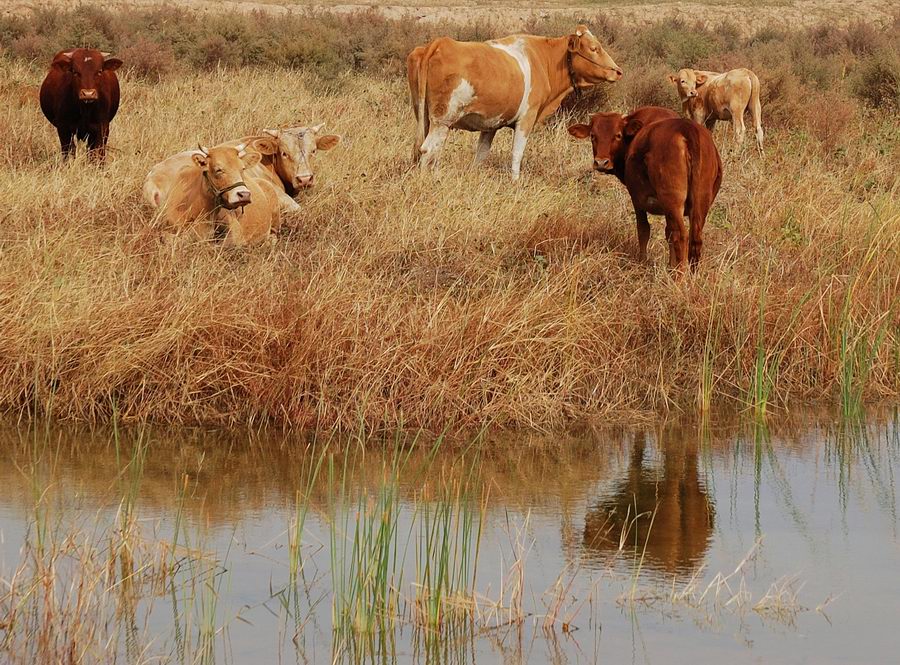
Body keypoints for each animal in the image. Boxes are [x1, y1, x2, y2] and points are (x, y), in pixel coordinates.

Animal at [406, 25, 620, 178]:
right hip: (442, 120)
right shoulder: (527, 118)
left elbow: (481, 155)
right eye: (594, 48)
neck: (543, 60)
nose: (617, 71)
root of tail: (439, 43)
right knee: (428, 150)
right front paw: (515, 182)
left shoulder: (490, 124)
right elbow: (517, 154)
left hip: (426, 117)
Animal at [568, 106, 724, 268]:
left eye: (618, 135)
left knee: (681, 236)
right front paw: (670, 266)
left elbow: (643, 230)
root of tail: (687, 128)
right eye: (593, 135)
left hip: (673, 202)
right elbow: (668, 233)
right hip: (700, 203)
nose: (601, 162)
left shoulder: (638, 200)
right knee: (695, 239)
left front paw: (642, 262)